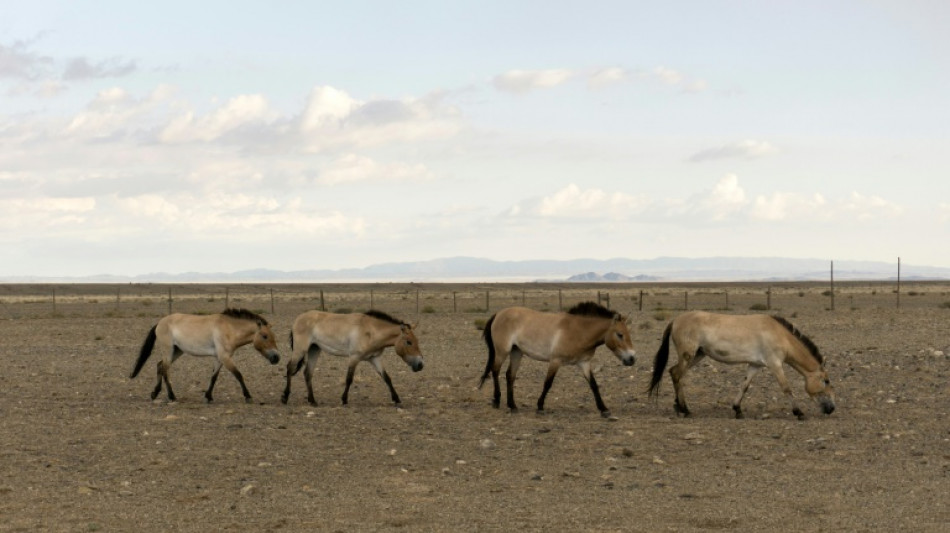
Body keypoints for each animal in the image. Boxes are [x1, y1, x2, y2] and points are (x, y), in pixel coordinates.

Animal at [130, 308, 280, 404]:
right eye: (265, 336)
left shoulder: (219, 358)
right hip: (168, 350)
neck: (229, 329)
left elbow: (214, 377)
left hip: (177, 351)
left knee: (160, 366)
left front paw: (208, 396)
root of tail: (160, 323)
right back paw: (172, 396)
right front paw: (248, 396)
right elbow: (238, 375)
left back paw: (155, 393)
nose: (276, 358)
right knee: (165, 370)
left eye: (273, 336)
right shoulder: (225, 357)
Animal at [280, 310, 426, 406]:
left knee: (307, 373)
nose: (420, 365)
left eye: (417, 340)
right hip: (300, 350)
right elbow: (349, 379)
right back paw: (285, 397)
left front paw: (396, 399)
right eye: (409, 342)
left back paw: (312, 401)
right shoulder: (354, 358)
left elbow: (387, 378)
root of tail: (297, 319)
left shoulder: (374, 358)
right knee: (290, 368)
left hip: (314, 350)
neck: (370, 331)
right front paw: (344, 400)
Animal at [476, 302, 640, 418]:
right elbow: (548, 383)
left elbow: (594, 385)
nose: (632, 358)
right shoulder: (555, 361)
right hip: (502, 352)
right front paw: (540, 407)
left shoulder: (584, 363)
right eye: (620, 334)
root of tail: (499, 313)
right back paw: (496, 400)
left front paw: (604, 409)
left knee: (510, 375)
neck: (578, 331)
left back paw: (512, 406)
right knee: (495, 371)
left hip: (517, 352)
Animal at [648, 312, 840, 420]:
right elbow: (786, 388)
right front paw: (799, 412)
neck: (780, 335)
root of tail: (675, 320)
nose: (832, 408)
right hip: (689, 355)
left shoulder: (755, 365)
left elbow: (744, 386)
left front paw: (737, 410)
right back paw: (685, 410)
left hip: (698, 355)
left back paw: (678, 407)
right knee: (677, 374)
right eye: (826, 381)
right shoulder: (775, 364)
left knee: (674, 372)